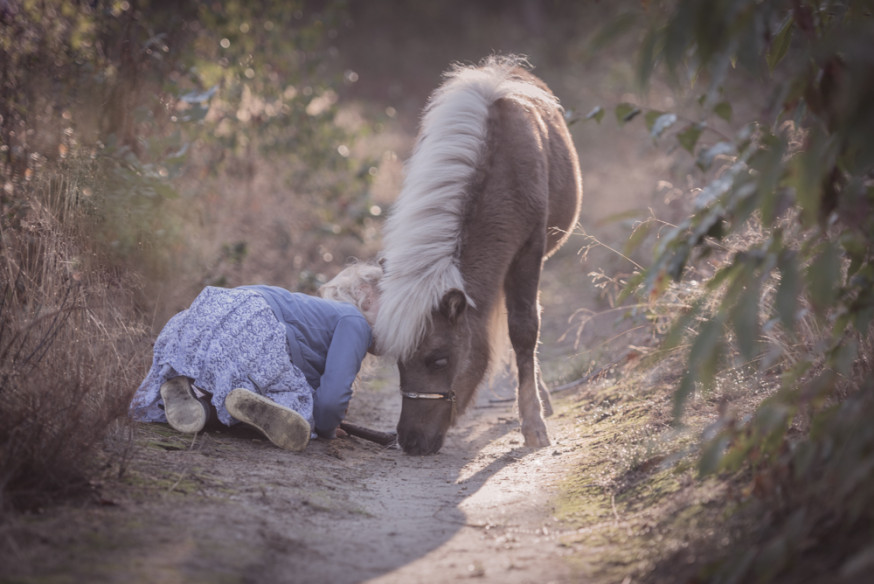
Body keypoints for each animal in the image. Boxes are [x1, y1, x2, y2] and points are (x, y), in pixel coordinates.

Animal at [372, 56, 580, 456]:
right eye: (399, 362)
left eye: (438, 359)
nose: (410, 440)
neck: (499, 170)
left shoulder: (530, 251)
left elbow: (525, 330)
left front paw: (534, 424)